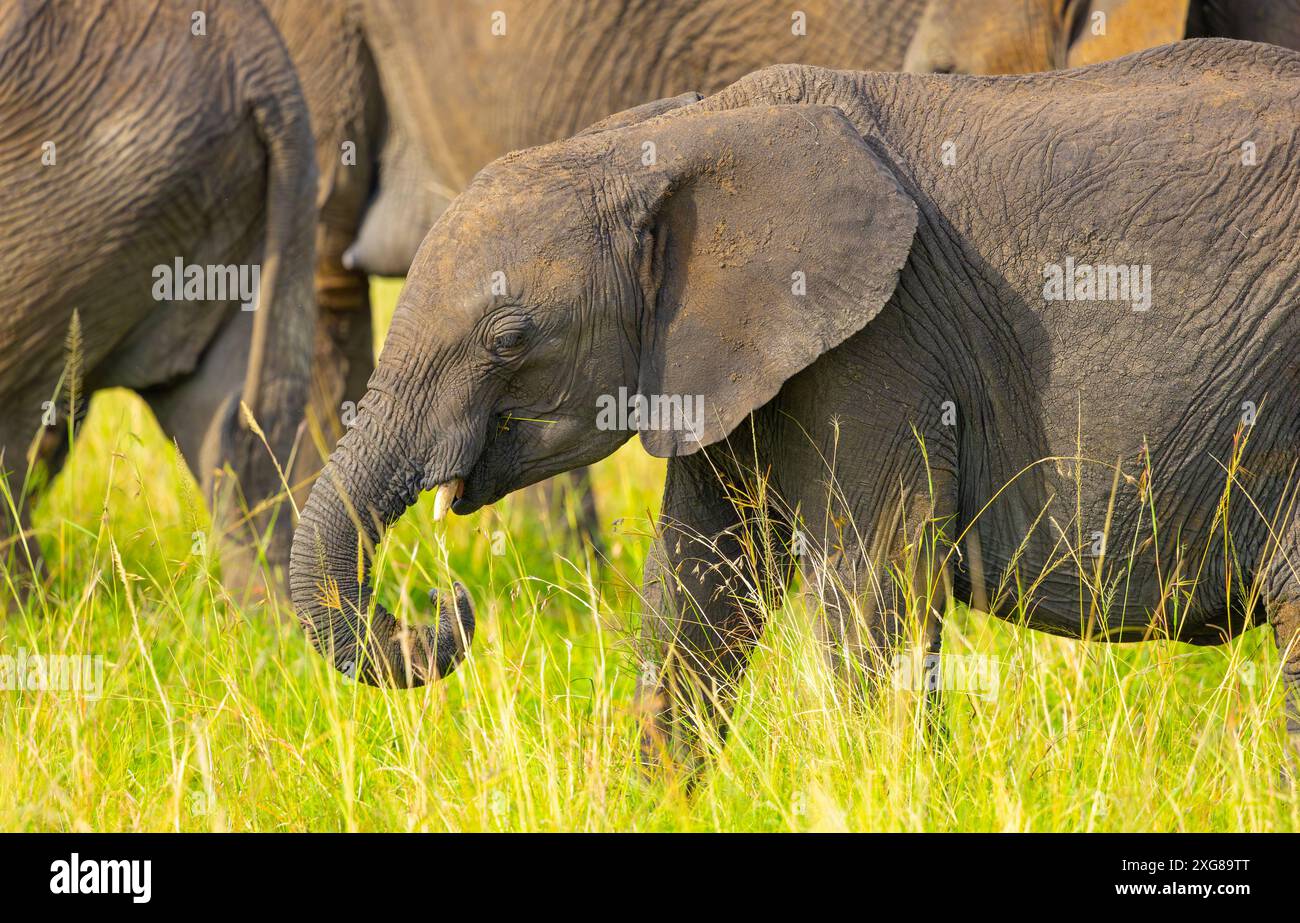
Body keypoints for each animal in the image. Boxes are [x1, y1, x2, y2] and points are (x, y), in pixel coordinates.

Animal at [289, 38, 1300, 775]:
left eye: (507, 339)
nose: (446, 604)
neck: (675, 138)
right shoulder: (726, 356)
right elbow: (696, 585)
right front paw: (664, 799)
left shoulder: (883, 342)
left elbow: (873, 581)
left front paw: (887, 789)